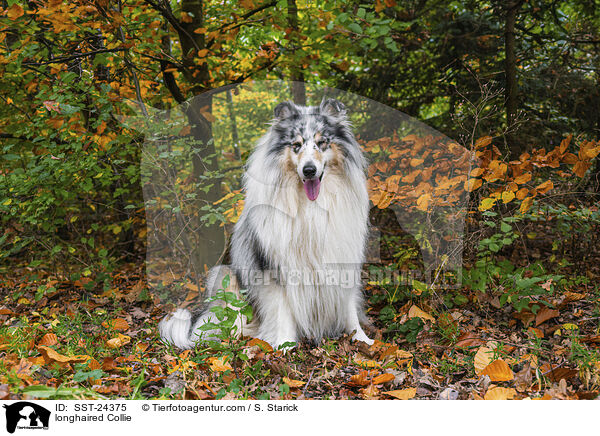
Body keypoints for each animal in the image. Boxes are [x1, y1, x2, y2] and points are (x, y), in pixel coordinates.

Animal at [161, 99, 376, 350]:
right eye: (296, 145)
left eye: (322, 142)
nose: (309, 170)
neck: (311, 206)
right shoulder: (272, 268)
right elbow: (282, 309)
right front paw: (284, 346)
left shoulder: (342, 259)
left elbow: (349, 307)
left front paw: (361, 339)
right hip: (225, 277)